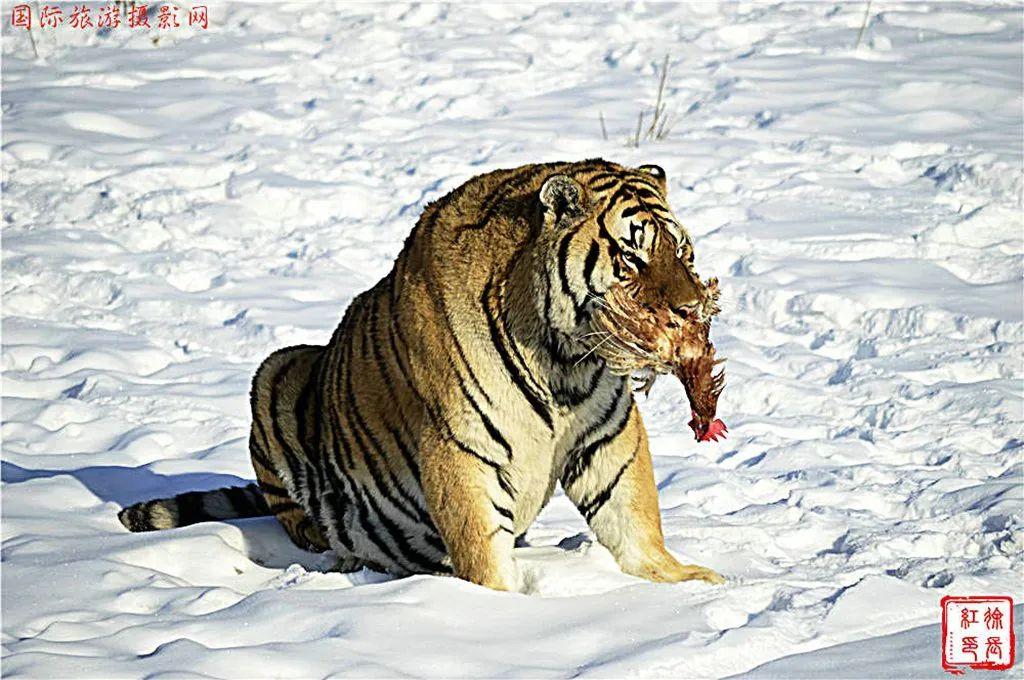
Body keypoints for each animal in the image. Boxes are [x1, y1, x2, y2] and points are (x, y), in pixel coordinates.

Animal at [119, 159, 724, 589]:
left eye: (683, 253)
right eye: (631, 258)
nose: (693, 309)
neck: (563, 362)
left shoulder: (608, 430)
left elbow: (634, 513)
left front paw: (689, 580)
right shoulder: (459, 446)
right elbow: (482, 549)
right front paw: (510, 608)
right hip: (275, 370)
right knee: (300, 523)